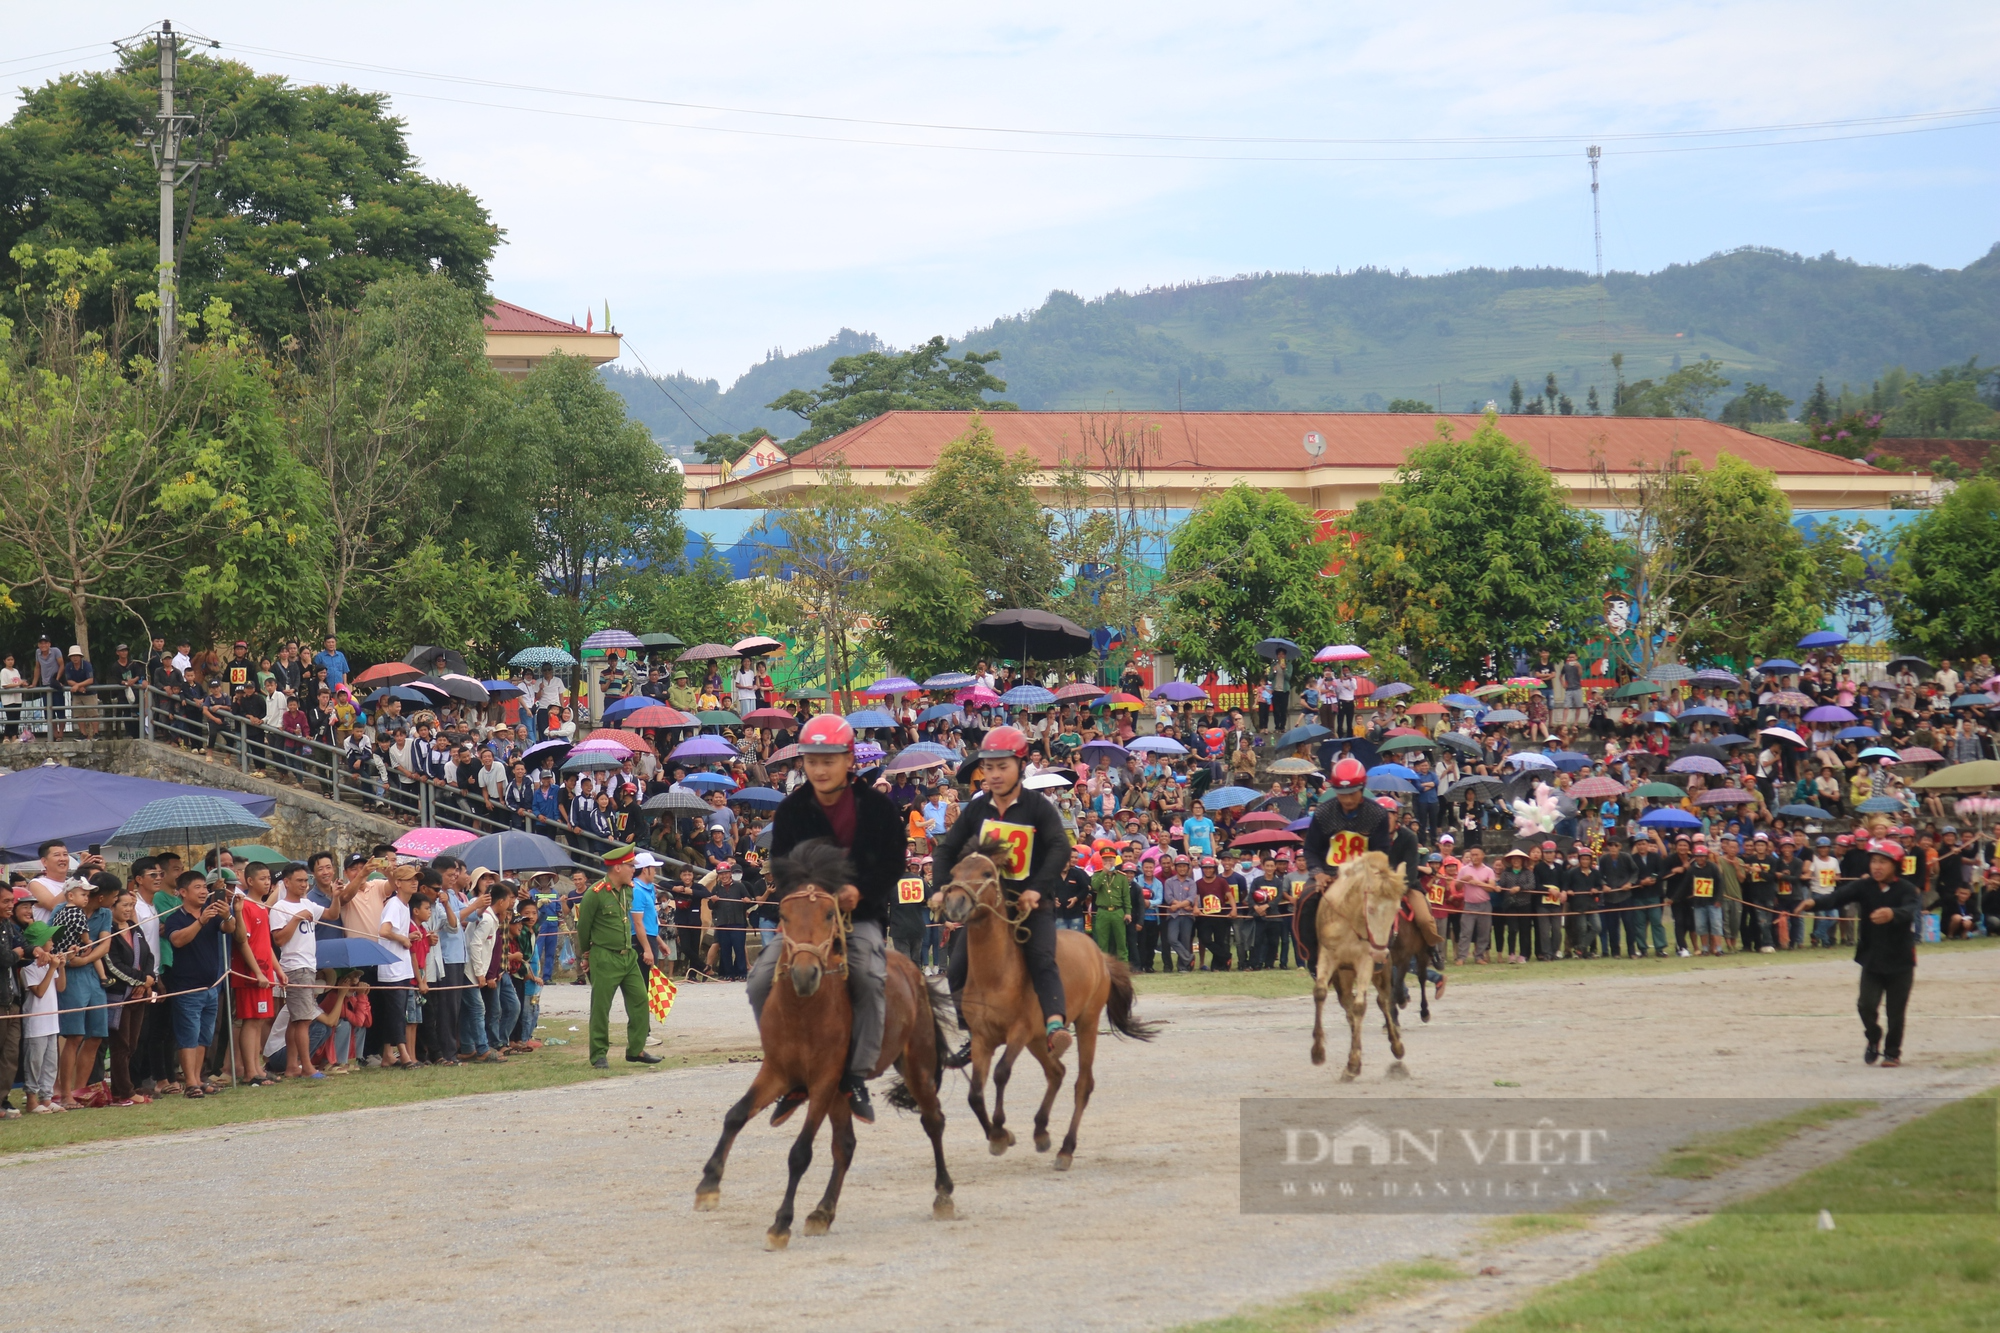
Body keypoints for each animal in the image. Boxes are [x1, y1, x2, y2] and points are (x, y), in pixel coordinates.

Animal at [700, 840, 956, 1248]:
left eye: (826, 913)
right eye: (784, 915)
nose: (805, 974)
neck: (803, 1012)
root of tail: (913, 969)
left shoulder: (823, 1080)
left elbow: (800, 1153)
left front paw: (781, 1223)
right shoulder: (778, 1072)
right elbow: (735, 1115)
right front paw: (709, 1185)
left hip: (914, 1064)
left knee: (933, 1120)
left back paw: (943, 1195)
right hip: (842, 1091)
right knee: (845, 1146)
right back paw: (823, 1211)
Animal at [932, 844, 1160, 1168]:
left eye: (987, 873)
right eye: (953, 873)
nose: (954, 902)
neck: (997, 973)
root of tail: (1097, 951)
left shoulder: (1019, 1032)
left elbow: (1001, 1073)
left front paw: (1000, 1132)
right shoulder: (982, 1038)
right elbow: (975, 1093)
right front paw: (1000, 1136)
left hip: (1085, 1023)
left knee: (1082, 1083)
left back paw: (1066, 1149)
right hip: (1039, 1039)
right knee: (1056, 1072)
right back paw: (1041, 1131)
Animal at [1312, 852, 1408, 1080]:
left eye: (1397, 909)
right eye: (1371, 908)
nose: (1380, 953)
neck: (1351, 922)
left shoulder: (1366, 960)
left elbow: (1360, 1006)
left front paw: (1353, 1064)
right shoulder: (1327, 956)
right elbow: (1320, 993)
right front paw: (1318, 1052)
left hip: (1380, 971)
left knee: (1383, 1000)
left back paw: (1396, 1045)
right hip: (1343, 976)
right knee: (1347, 1005)